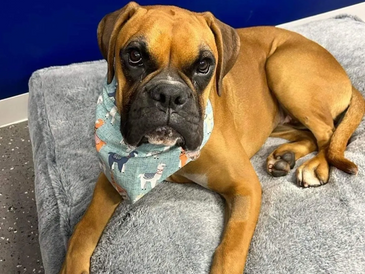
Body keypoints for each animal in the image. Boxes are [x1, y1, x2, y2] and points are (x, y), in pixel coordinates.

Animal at [59, 2, 364, 274]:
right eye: (134, 55)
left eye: (204, 65)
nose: (169, 94)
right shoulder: (111, 178)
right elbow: (83, 229)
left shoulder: (246, 187)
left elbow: (229, 250)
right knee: (310, 133)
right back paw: (284, 156)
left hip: (282, 67)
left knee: (328, 133)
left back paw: (315, 167)